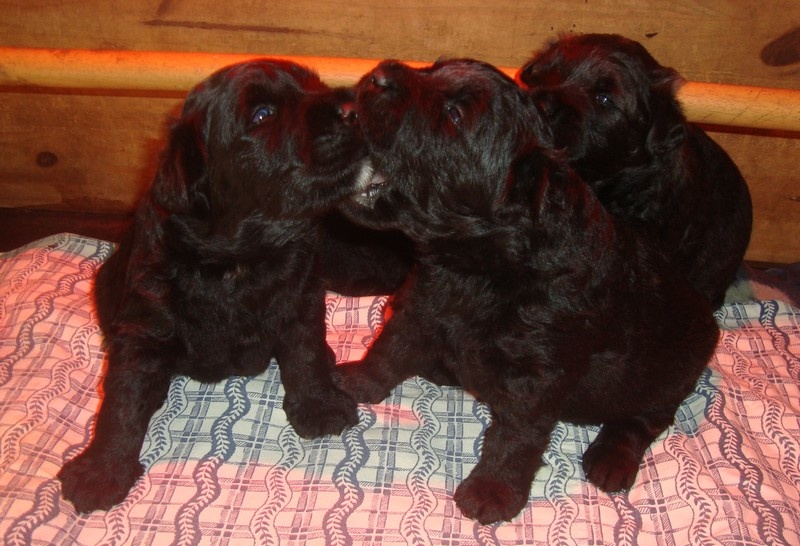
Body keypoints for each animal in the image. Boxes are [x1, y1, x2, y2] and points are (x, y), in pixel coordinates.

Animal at [58, 59, 410, 510]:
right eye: (262, 115)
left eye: (315, 85)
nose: (355, 107)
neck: (238, 260)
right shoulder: (143, 328)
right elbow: (121, 401)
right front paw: (102, 470)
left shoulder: (299, 301)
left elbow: (305, 354)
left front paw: (319, 405)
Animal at [334, 59, 720, 524]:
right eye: (432, 68)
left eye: (455, 115)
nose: (378, 74)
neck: (477, 267)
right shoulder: (422, 306)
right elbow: (389, 348)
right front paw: (357, 379)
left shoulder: (538, 373)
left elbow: (517, 437)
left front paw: (492, 490)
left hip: (674, 370)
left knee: (645, 418)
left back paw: (612, 458)